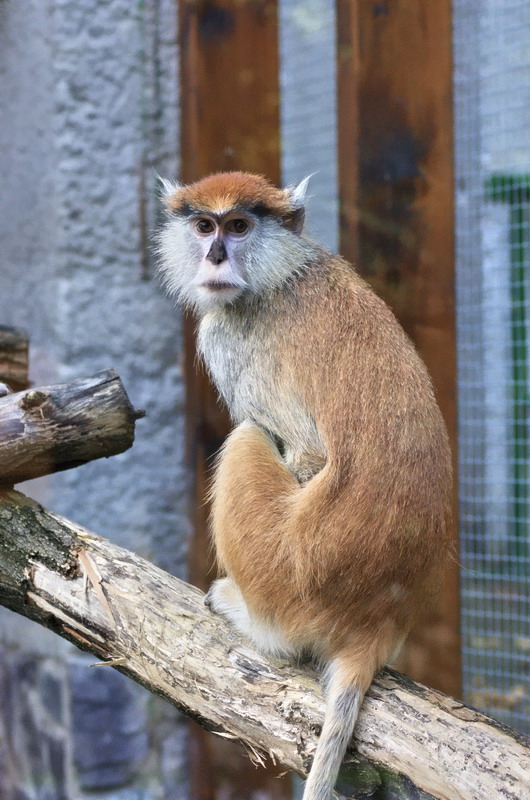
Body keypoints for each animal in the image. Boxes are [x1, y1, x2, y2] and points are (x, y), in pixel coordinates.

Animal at [157, 171, 452, 800]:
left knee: (247, 437)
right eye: (204, 226)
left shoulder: (231, 337)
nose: (215, 255)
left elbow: (308, 454)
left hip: (283, 573)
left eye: (239, 226)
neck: (285, 269)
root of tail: (373, 624)